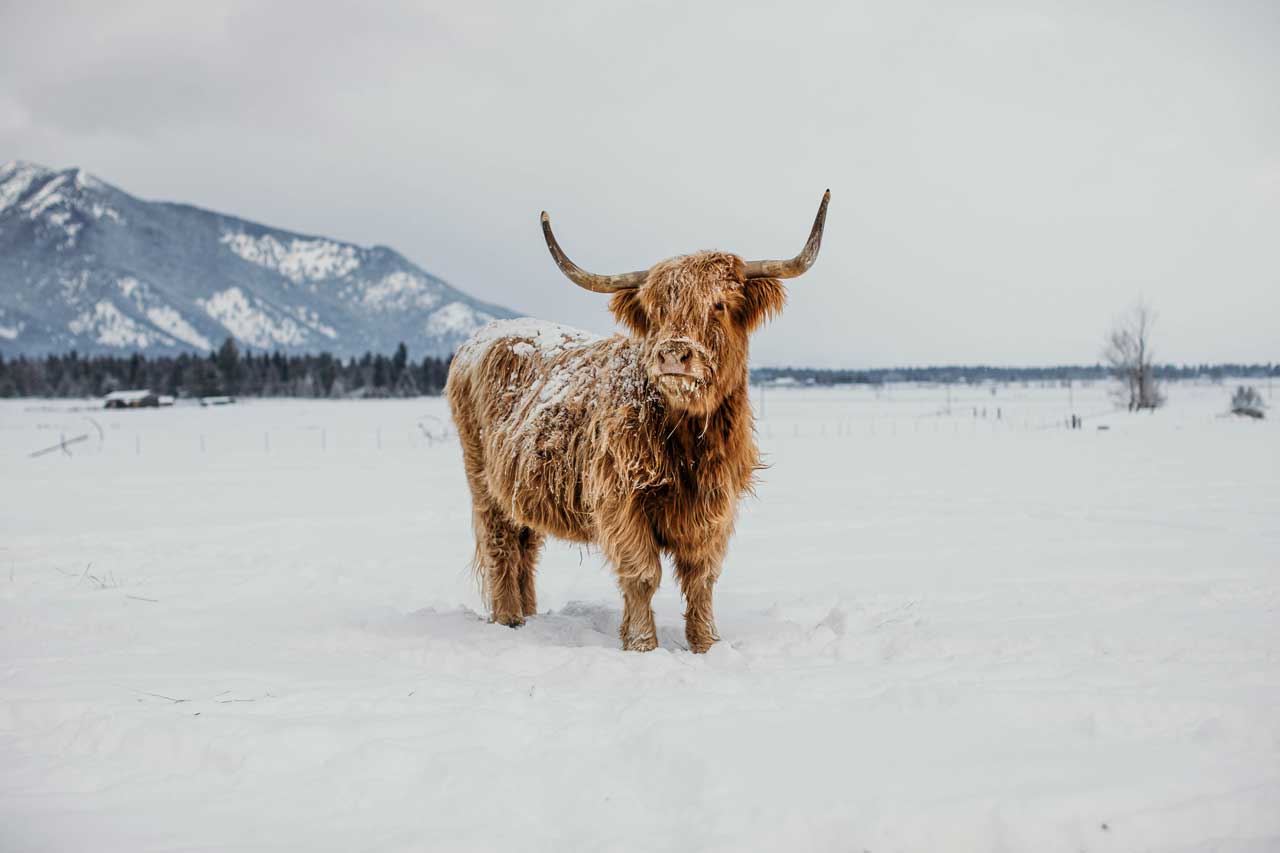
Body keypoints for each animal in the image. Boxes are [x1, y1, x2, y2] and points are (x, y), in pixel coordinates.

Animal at [448, 189, 829, 648]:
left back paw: (528, 615)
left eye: (719, 304)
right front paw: (642, 645)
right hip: (481, 480)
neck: (688, 440)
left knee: (526, 546)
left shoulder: (713, 506)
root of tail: (483, 338)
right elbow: (642, 574)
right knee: (500, 544)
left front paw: (706, 644)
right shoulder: (620, 500)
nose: (673, 353)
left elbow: (702, 577)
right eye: (656, 311)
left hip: (520, 483)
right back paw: (508, 620)